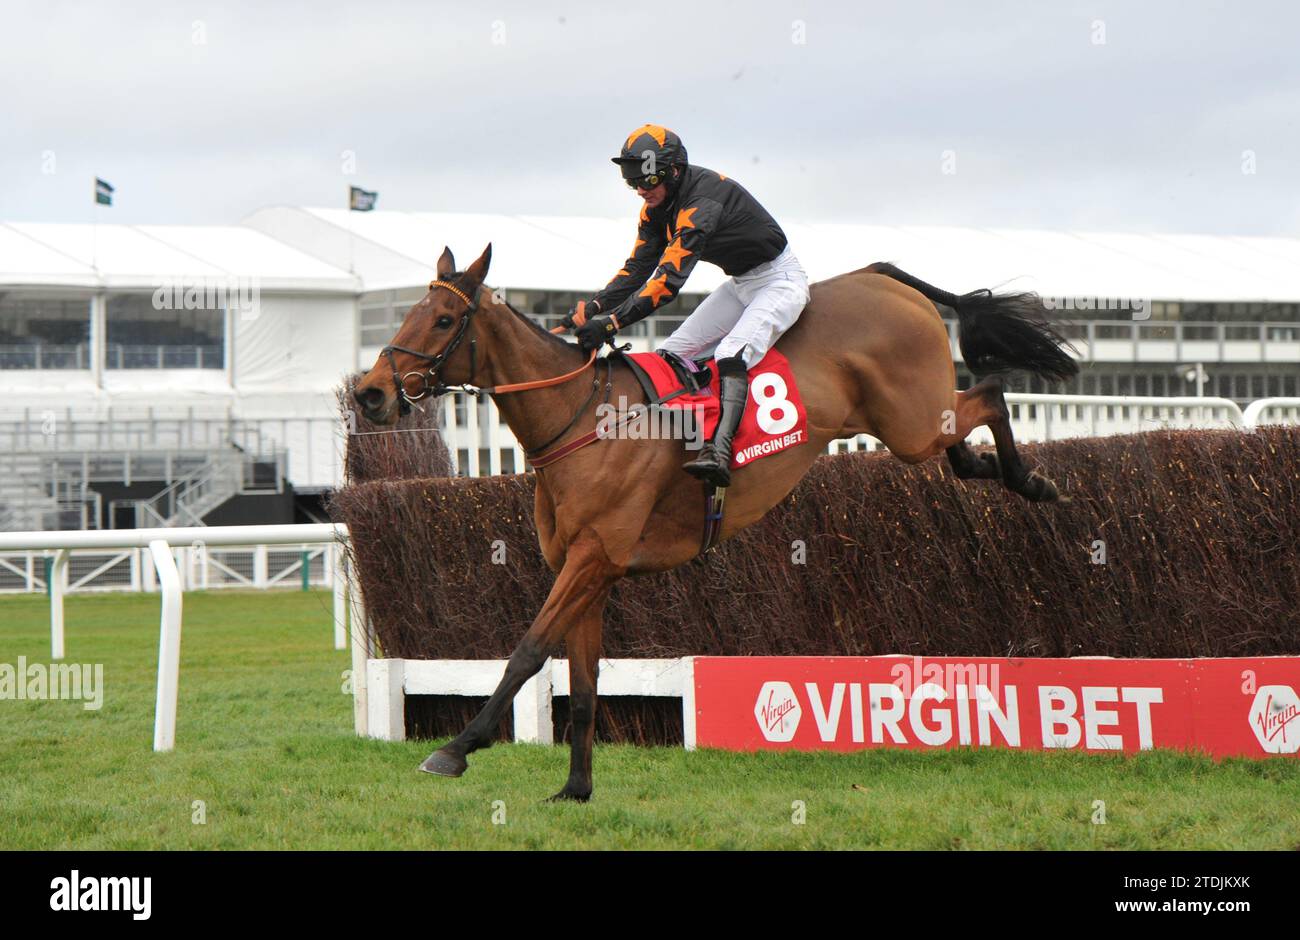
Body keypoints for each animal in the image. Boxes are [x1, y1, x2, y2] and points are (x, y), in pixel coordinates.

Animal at [353, 243, 1076, 800]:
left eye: (445, 319)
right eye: (409, 312)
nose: (370, 393)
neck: (581, 418)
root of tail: (882, 276)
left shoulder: (593, 559)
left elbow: (527, 652)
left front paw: (456, 748)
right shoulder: (589, 572)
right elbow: (582, 686)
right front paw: (576, 789)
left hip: (912, 420)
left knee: (991, 394)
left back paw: (1031, 480)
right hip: (913, 423)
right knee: (968, 427)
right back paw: (1002, 470)